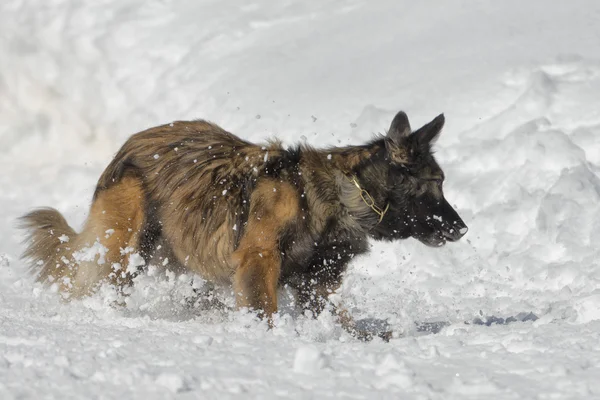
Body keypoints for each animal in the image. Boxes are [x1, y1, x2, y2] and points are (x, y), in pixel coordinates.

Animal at [19, 111, 468, 340]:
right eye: (436, 185)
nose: (462, 229)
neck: (341, 194)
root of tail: (129, 144)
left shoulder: (315, 282)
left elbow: (338, 319)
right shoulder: (259, 257)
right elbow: (264, 308)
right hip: (123, 243)